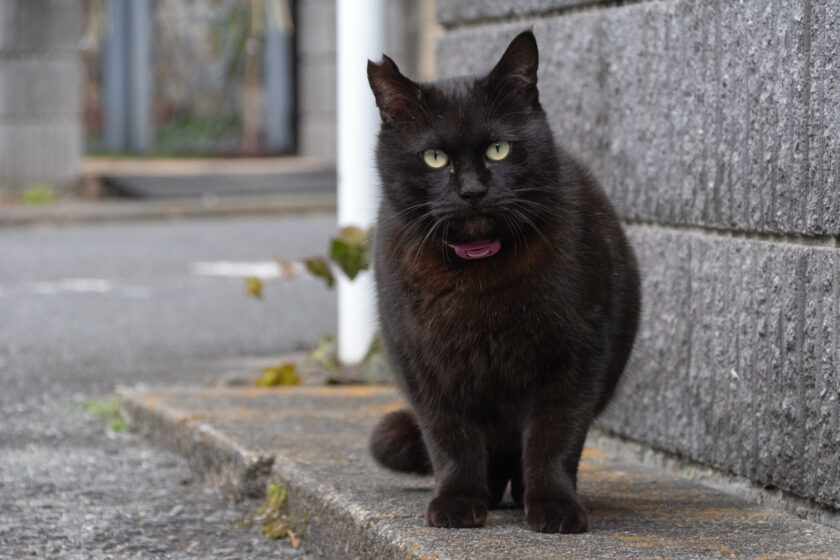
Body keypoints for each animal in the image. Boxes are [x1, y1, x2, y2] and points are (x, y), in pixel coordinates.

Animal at [366, 31, 636, 532]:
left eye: (499, 149)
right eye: (434, 158)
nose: (472, 191)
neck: (477, 276)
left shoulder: (575, 360)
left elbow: (555, 438)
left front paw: (554, 506)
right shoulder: (426, 370)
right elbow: (451, 441)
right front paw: (458, 501)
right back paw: (489, 493)